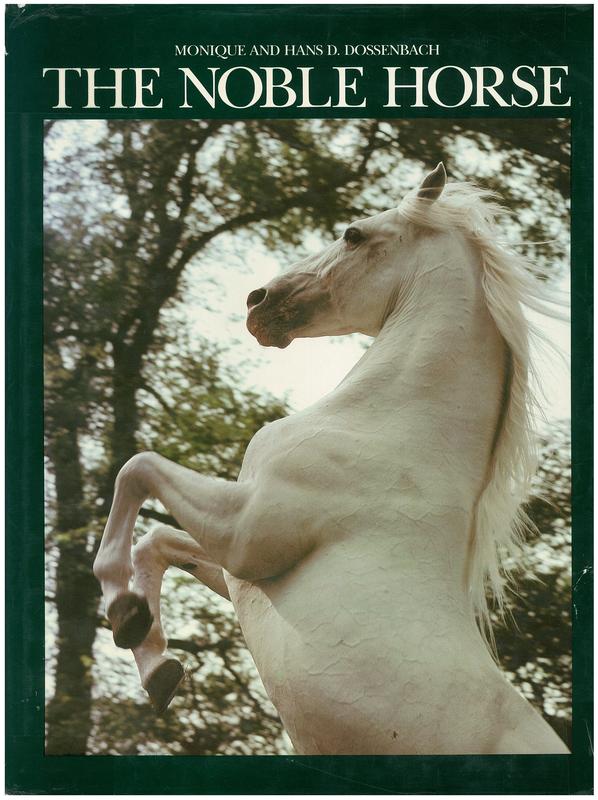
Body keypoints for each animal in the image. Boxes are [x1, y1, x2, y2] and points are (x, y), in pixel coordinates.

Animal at [93, 164, 569, 754]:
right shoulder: (240, 569)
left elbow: (136, 470)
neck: (386, 428)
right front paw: (154, 661)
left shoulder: (247, 534)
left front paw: (122, 611)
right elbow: (156, 540)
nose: (258, 301)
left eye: (353, 234)